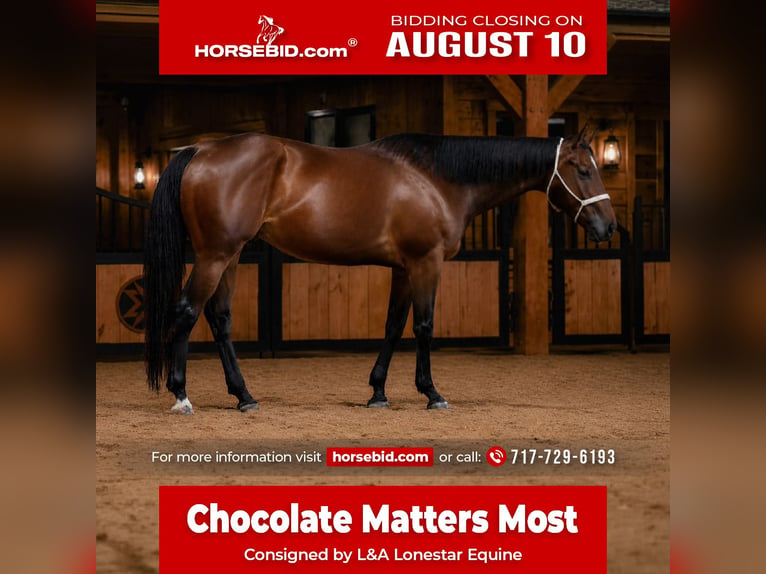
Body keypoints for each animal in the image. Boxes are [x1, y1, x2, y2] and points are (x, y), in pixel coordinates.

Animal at [143, 126, 616, 414]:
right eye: (582, 170)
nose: (608, 226)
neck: (438, 180)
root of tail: (200, 149)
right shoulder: (427, 262)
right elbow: (423, 327)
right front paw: (432, 394)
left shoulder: (404, 268)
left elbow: (392, 327)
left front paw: (378, 393)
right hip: (216, 255)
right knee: (186, 312)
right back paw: (182, 395)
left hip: (231, 255)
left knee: (219, 318)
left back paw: (244, 396)